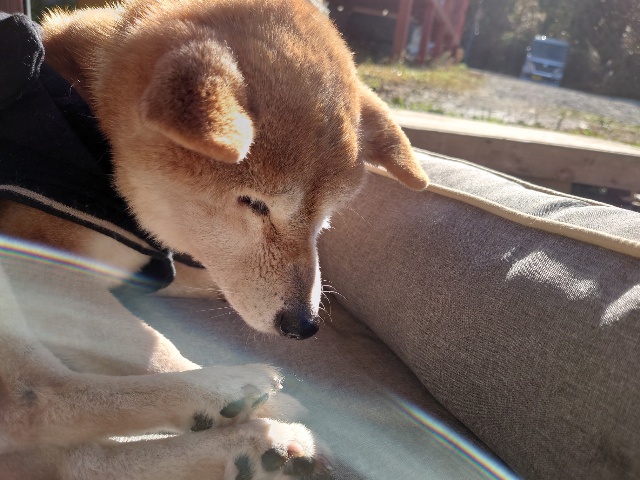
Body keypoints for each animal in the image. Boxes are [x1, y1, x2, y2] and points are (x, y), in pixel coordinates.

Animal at [0, 0, 428, 478]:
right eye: (255, 204)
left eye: (326, 218)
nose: (303, 326)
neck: (90, 128)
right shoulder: (34, 261)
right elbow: (149, 346)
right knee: (35, 398)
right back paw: (228, 392)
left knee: (78, 461)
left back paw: (256, 448)